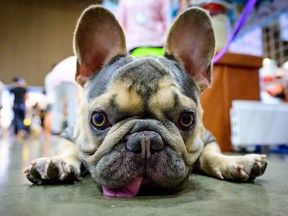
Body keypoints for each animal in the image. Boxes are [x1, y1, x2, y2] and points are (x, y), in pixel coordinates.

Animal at [24, 5, 268, 197]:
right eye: (98, 119)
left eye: (186, 119)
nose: (145, 141)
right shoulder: (68, 134)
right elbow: (69, 150)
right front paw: (58, 162)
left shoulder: (206, 137)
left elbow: (210, 154)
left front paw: (235, 161)